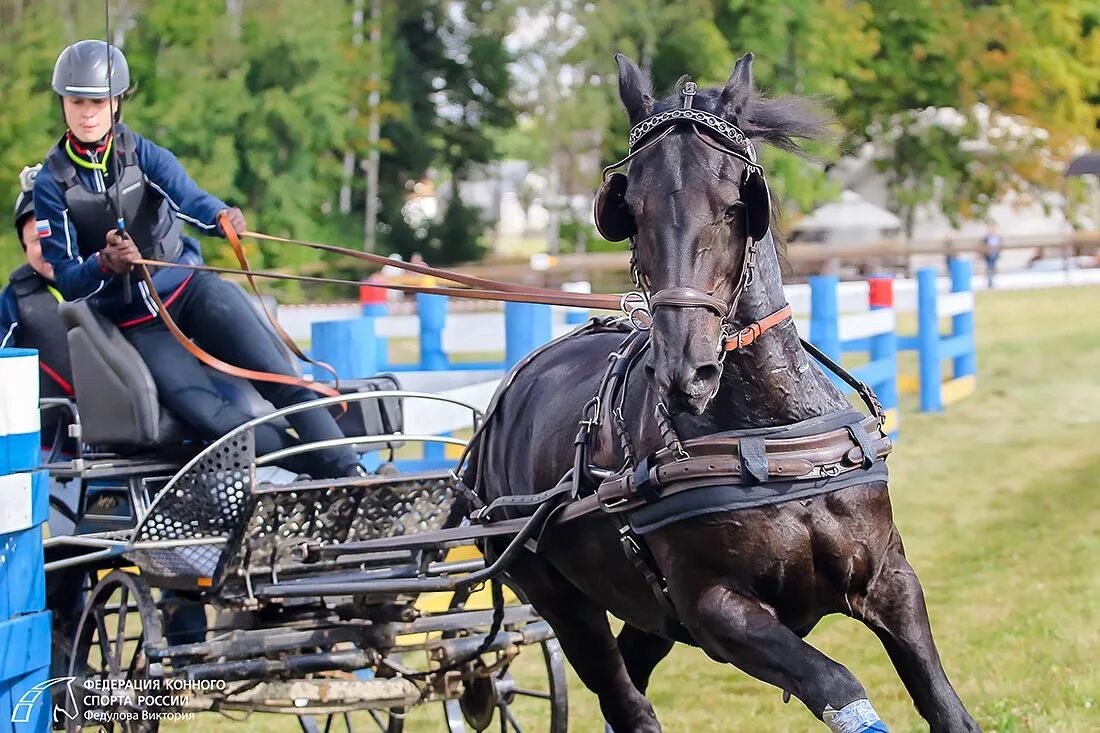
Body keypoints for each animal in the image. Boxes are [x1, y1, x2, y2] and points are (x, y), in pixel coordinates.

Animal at [464, 54, 981, 726]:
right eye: (631, 208)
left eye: (737, 200)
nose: (687, 369)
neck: (767, 436)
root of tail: (498, 412)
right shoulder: (716, 610)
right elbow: (838, 683)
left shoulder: (890, 580)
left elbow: (945, 706)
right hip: (562, 601)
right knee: (624, 699)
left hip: (646, 613)